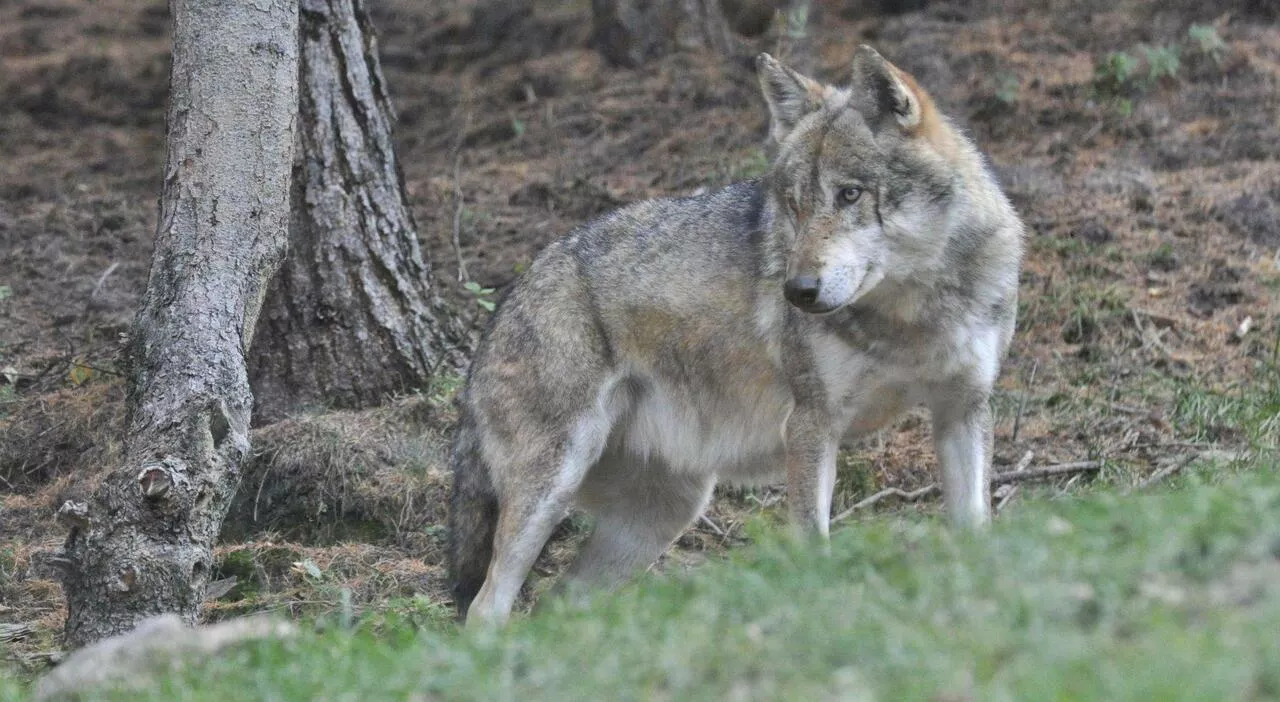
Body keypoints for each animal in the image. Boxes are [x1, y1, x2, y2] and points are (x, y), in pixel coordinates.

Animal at [445, 45, 1024, 625]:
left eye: (849, 194)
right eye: (794, 205)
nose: (798, 291)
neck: (911, 315)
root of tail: (503, 307)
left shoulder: (963, 408)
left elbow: (976, 529)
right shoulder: (811, 425)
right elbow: (814, 545)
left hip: (665, 512)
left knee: (557, 605)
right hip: (553, 490)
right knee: (486, 608)